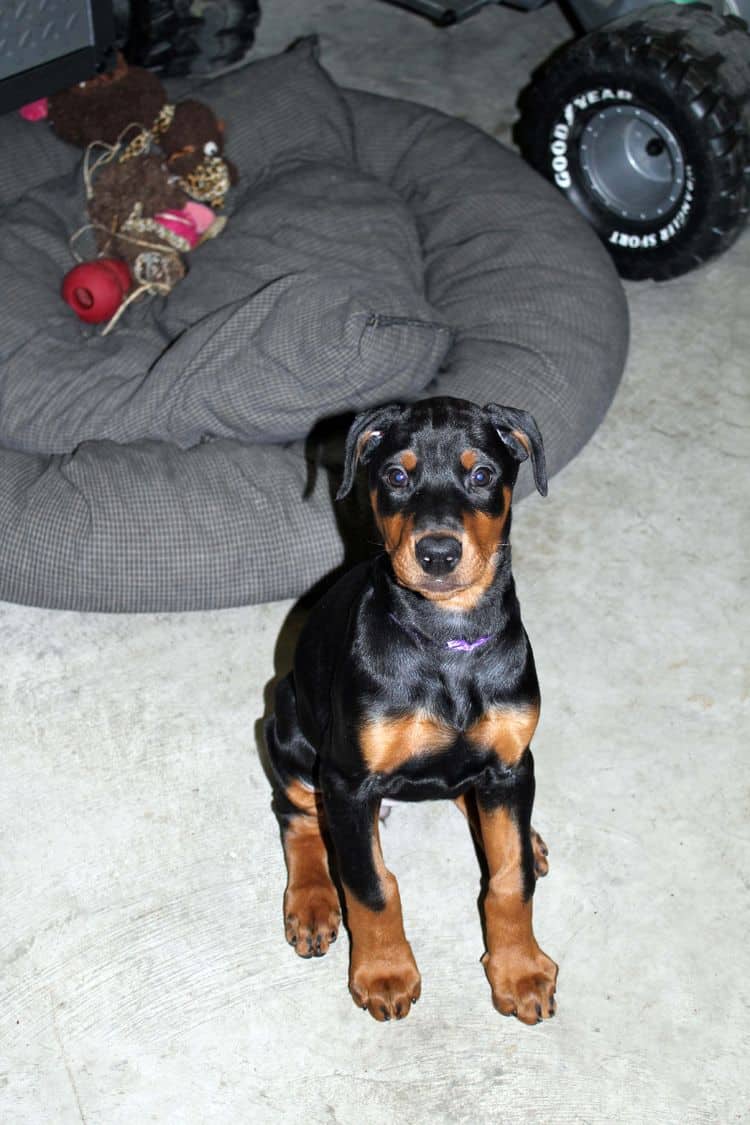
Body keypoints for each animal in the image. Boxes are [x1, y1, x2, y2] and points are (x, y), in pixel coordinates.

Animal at [265, 400, 557, 1026]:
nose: (438, 554)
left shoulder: (511, 764)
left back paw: (528, 836)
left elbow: (510, 878)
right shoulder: (348, 780)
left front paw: (520, 970)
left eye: (482, 475)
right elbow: (372, 886)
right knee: (294, 812)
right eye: (397, 476)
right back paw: (312, 902)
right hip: (287, 725)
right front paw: (384, 972)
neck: (447, 640)